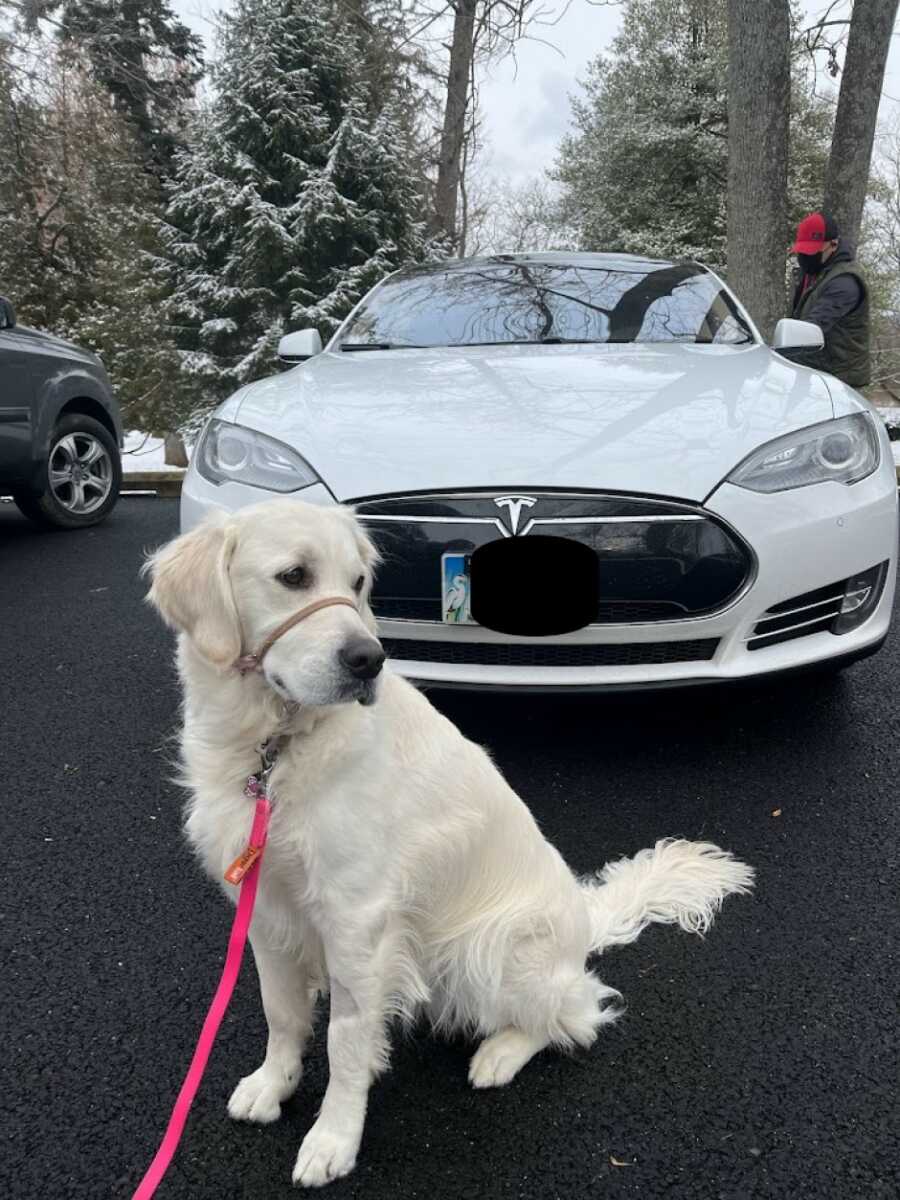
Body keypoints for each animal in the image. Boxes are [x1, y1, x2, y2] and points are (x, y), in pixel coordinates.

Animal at [146, 499, 753, 1190]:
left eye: (358, 583)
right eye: (293, 576)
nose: (368, 659)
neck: (274, 747)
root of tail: (583, 918)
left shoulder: (356, 921)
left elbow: (345, 1043)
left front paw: (333, 1139)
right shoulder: (267, 907)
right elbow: (283, 1013)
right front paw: (274, 1084)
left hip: (488, 949)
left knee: (578, 1012)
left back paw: (500, 1054)